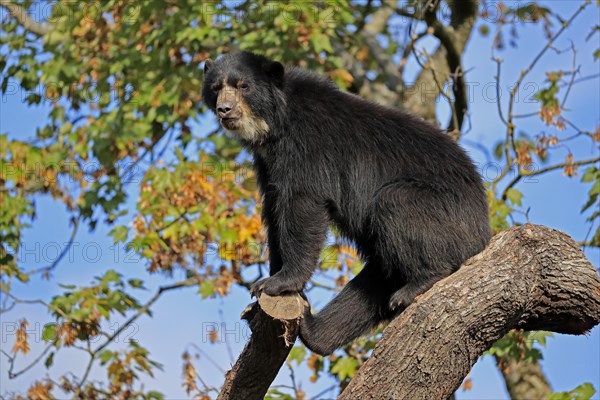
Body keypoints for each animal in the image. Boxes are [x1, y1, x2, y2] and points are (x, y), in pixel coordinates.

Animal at [199, 51, 490, 354]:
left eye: (243, 86)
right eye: (216, 88)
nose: (224, 109)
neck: (275, 127)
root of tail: (484, 228)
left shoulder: (309, 146)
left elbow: (302, 204)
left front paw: (276, 282)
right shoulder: (268, 164)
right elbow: (274, 210)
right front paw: (264, 292)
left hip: (442, 212)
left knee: (397, 206)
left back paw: (418, 284)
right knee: (372, 285)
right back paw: (313, 329)